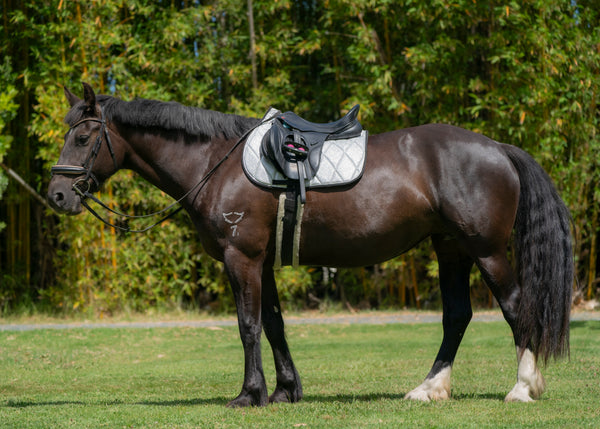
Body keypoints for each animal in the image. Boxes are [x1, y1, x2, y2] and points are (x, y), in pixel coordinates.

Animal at [47, 83, 572, 404]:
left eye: (85, 137)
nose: (56, 195)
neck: (216, 162)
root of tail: (498, 148)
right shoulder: (261, 262)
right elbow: (275, 325)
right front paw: (283, 391)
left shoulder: (242, 259)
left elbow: (248, 326)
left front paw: (249, 394)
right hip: (451, 249)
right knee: (457, 317)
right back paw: (429, 388)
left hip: (486, 251)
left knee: (515, 308)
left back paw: (523, 387)